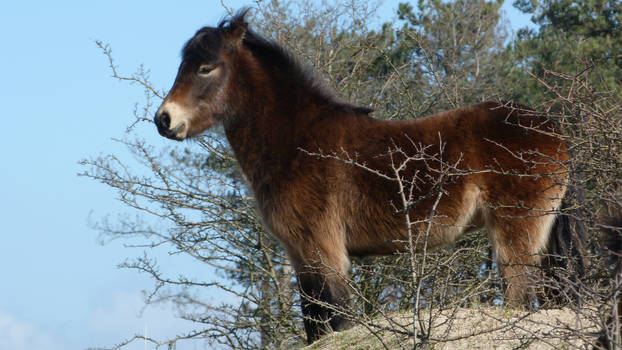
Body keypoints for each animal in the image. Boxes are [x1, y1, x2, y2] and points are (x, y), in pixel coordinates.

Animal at [155, 9, 576, 344]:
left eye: (206, 67)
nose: (164, 119)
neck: (298, 141)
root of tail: (552, 127)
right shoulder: (301, 257)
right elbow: (314, 321)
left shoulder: (324, 251)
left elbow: (337, 318)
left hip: (515, 237)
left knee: (518, 295)